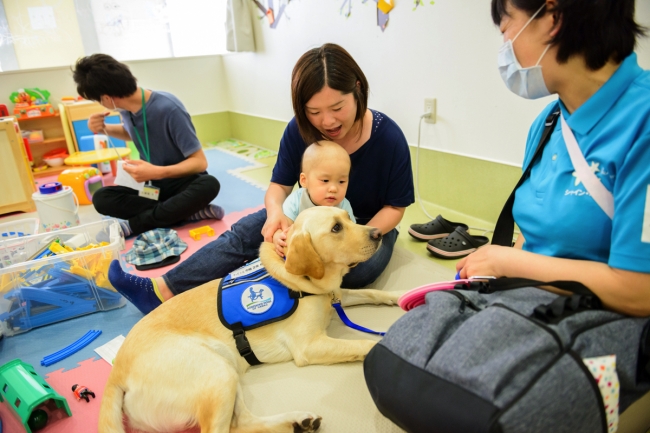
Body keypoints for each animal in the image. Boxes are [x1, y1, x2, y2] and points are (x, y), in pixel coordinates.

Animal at [98, 206, 400, 432]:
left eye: (348, 218)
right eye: (336, 228)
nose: (377, 233)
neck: (303, 282)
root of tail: (115, 375)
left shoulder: (335, 296)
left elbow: (370, 292)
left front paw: (401, 296)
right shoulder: (309, 346)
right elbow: (362, 344)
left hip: (227, 369)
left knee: (241, 422)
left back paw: (297, 421)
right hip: (215, 372)